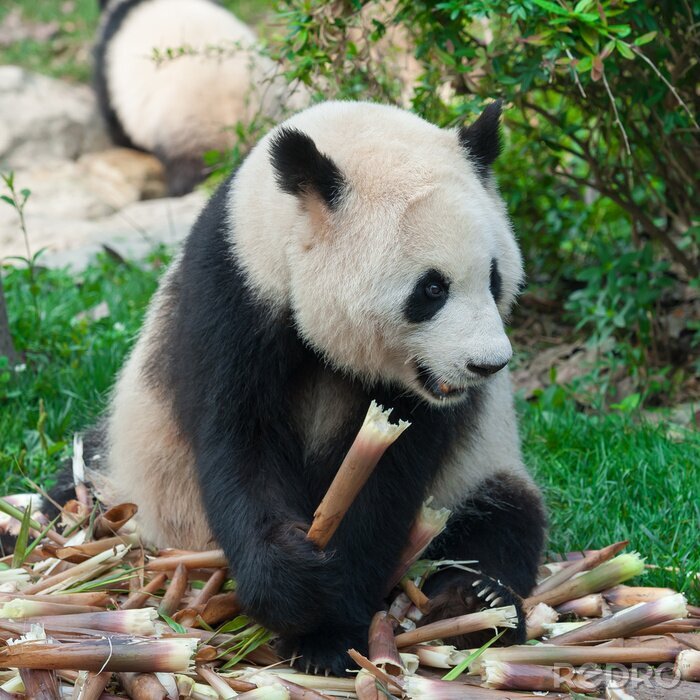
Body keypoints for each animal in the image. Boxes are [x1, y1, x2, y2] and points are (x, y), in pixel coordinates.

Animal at [55, 100, 547, 675]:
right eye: (431, 289)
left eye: (493, 277)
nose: (488, 364)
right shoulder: (232, 297)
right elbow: (241, 445)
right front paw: (296, 591)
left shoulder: (421, 407)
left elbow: (386, 479)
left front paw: (328, 633)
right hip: (132, 476)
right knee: (74, 485)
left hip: (477, 469)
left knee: (505, 519)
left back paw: (475, 605)